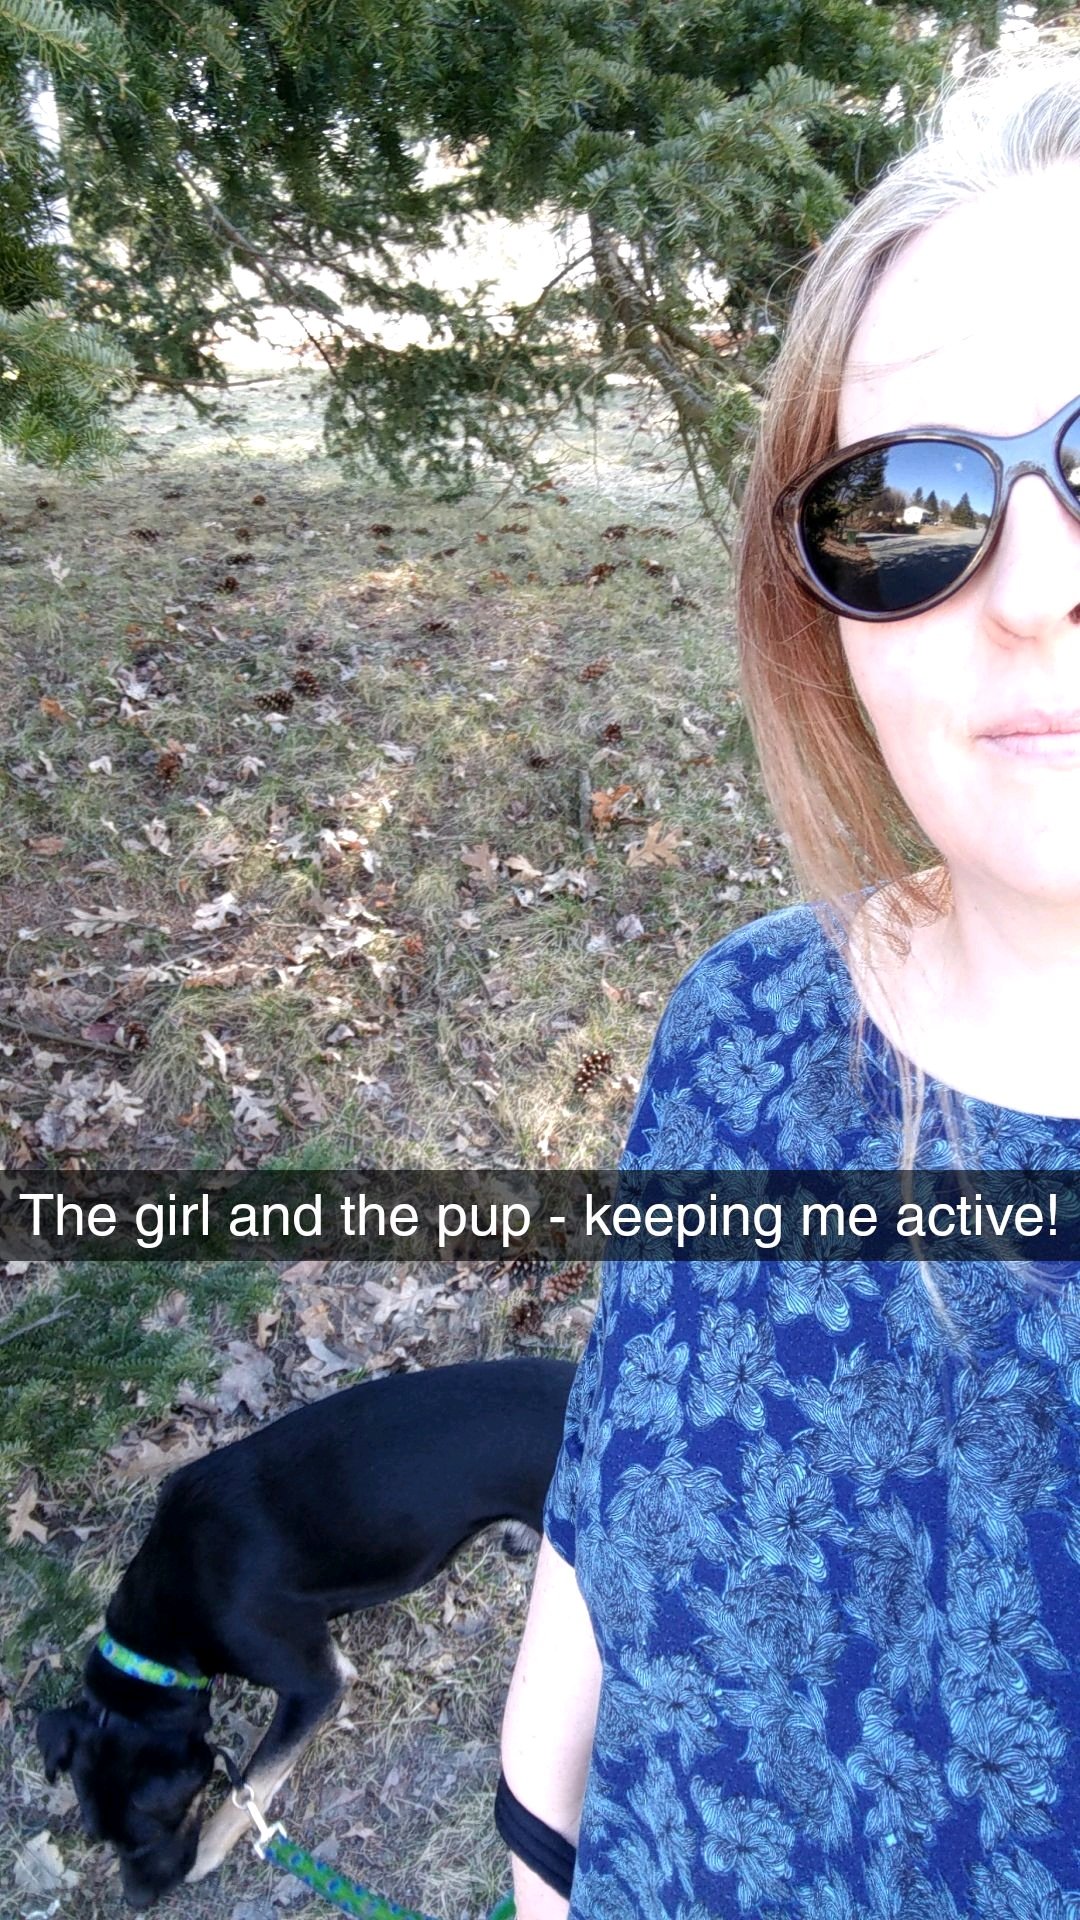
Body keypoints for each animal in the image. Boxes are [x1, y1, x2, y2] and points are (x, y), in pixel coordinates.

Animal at [36, 1355, 576, 1909]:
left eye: (148, 1835)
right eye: (102, 1837)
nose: (137, 1901)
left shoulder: (316, 1683)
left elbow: (254, 1781)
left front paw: (210, 1849)